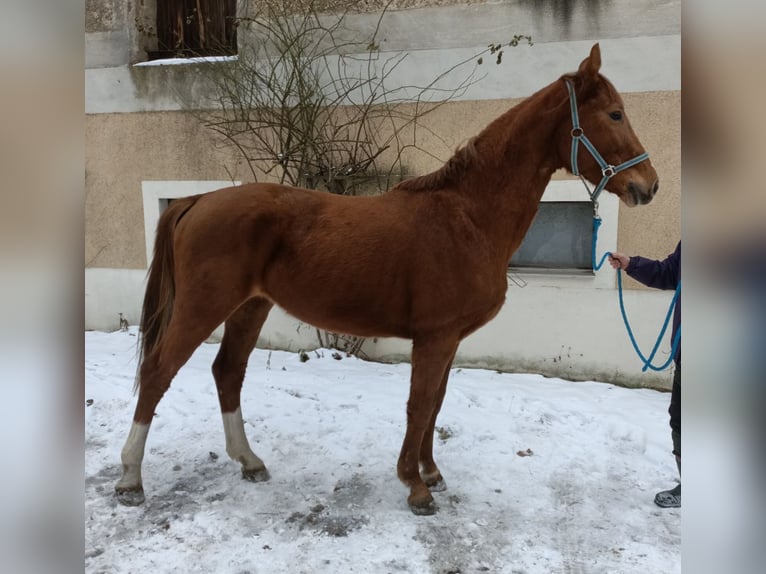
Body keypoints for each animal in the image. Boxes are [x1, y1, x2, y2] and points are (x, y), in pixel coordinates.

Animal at [114, 44, 658, 515]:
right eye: (614, 114)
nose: (648, 186)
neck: (467, 215)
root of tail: (198, 200)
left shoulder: (450, 339)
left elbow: (435, 405)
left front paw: (431, 471)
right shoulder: (435, 337)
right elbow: (419, 406)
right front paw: (415, 487)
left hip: (250, 307)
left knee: (227, 371)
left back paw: (249, 461)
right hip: (203, 306)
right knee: (158, 372)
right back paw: (130, 479)